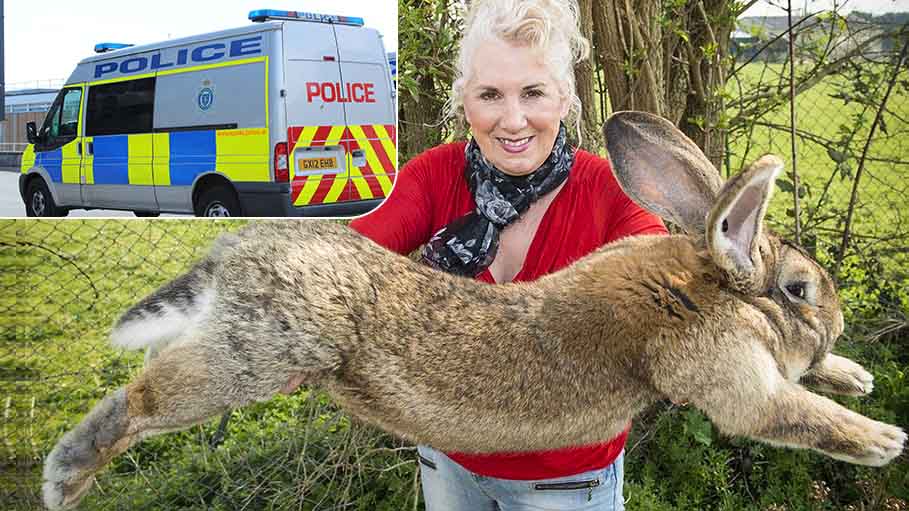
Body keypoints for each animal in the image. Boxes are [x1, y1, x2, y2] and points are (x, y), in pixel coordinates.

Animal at [40, 111, 900, 508]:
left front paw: (853, 376)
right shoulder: (726, 375)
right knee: (143, 397)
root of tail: (237, 252)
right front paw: (883, 438)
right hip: (255, 355)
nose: (834, 322)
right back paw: (65, 476)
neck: (706, 285)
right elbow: (787, 413)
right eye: (799, 289)